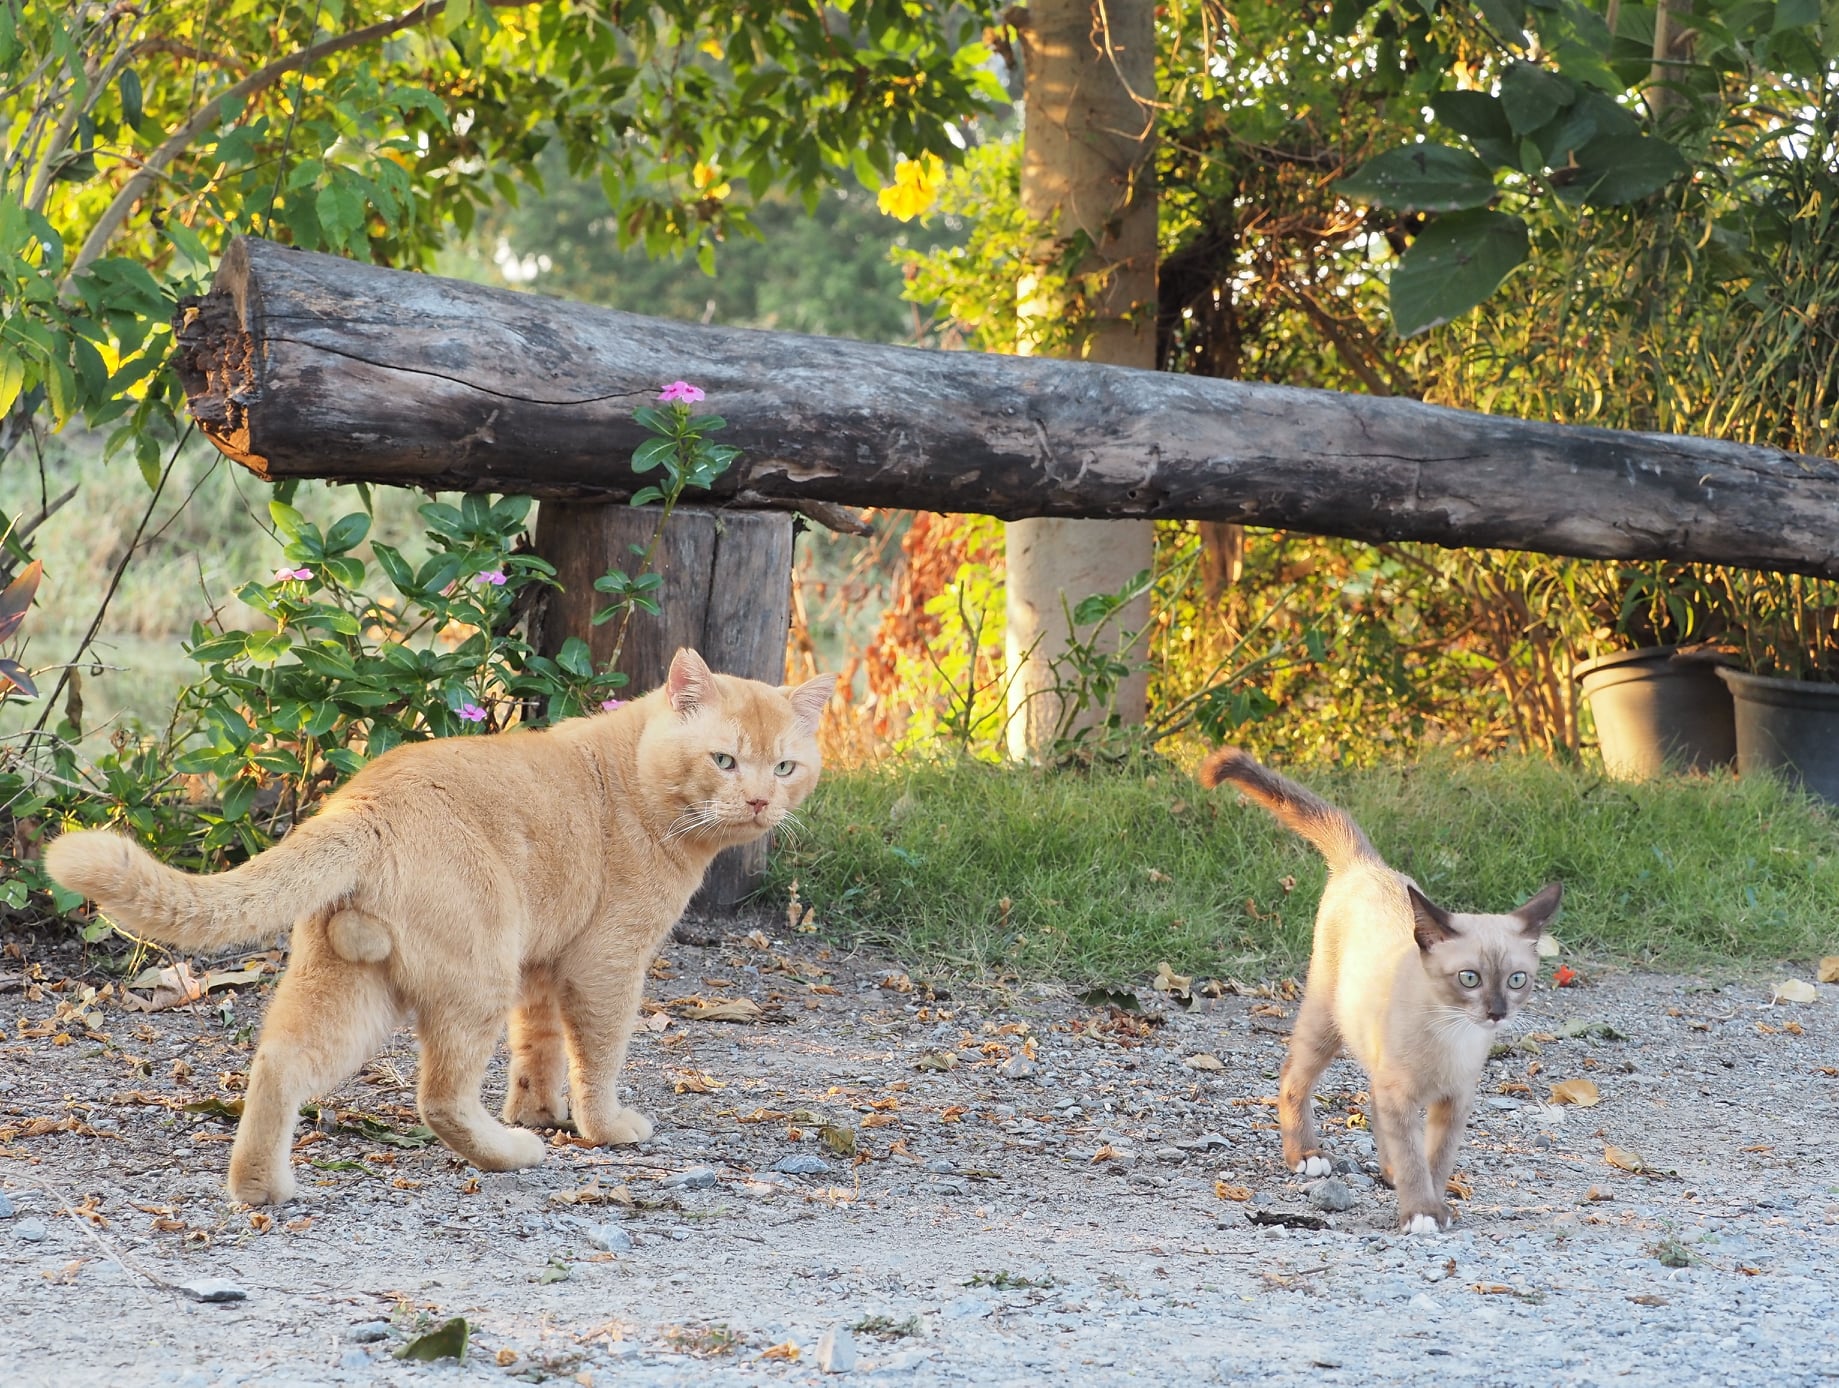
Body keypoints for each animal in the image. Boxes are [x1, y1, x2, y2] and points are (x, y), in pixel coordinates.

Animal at [46, 648, 836, 1205]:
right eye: (724, 760)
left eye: (784, 767)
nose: (760, 801)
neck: (634, 781)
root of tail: (359, 806)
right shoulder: (606, 964)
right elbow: (599, 1057)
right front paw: (599, 1129)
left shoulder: (541, 969)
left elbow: (540, 1048)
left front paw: (539, 1110)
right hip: (473, 979)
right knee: (440, 1098)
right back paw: (511, 1153)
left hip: (354, 987)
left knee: (280, 1062)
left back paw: (260, 1188)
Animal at [1198, 748, 1561, 1234]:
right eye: (1469, 979)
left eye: (1516, 980)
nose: (1496, 1012)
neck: (1453, 1035)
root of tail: (1369, 865)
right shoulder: (1402, 1095)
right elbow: (1413, 1157)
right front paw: (1421, 1214)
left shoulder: (1454, 1102)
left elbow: (1435, 1159)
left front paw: (1434, 1205)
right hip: (1328, 1020)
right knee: (1294, 1075)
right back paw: (1306, 1156)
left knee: (1370, 1100)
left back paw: (1384, 1171)